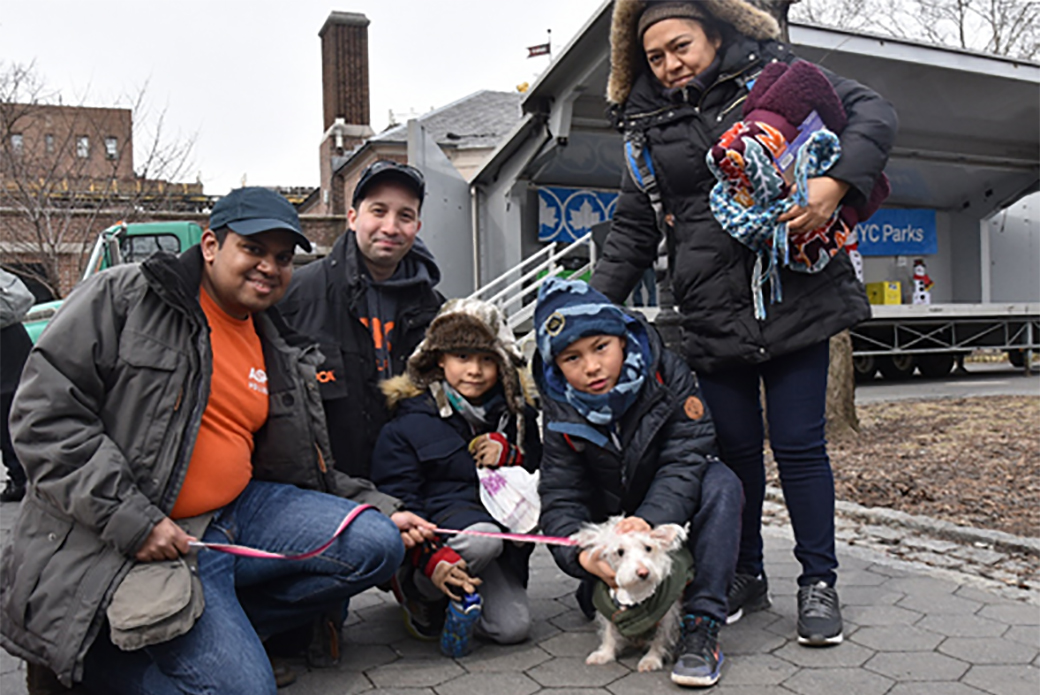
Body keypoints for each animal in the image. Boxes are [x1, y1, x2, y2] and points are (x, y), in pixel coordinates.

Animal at [574, 516, 686, 674]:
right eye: (620, 552)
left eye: (648, 548)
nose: (643, 572)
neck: (635, 592)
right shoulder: (608, 608)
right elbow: (609, 631)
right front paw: (605, 653)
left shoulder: (668, 613)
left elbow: (660, 637)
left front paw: (651, 658)